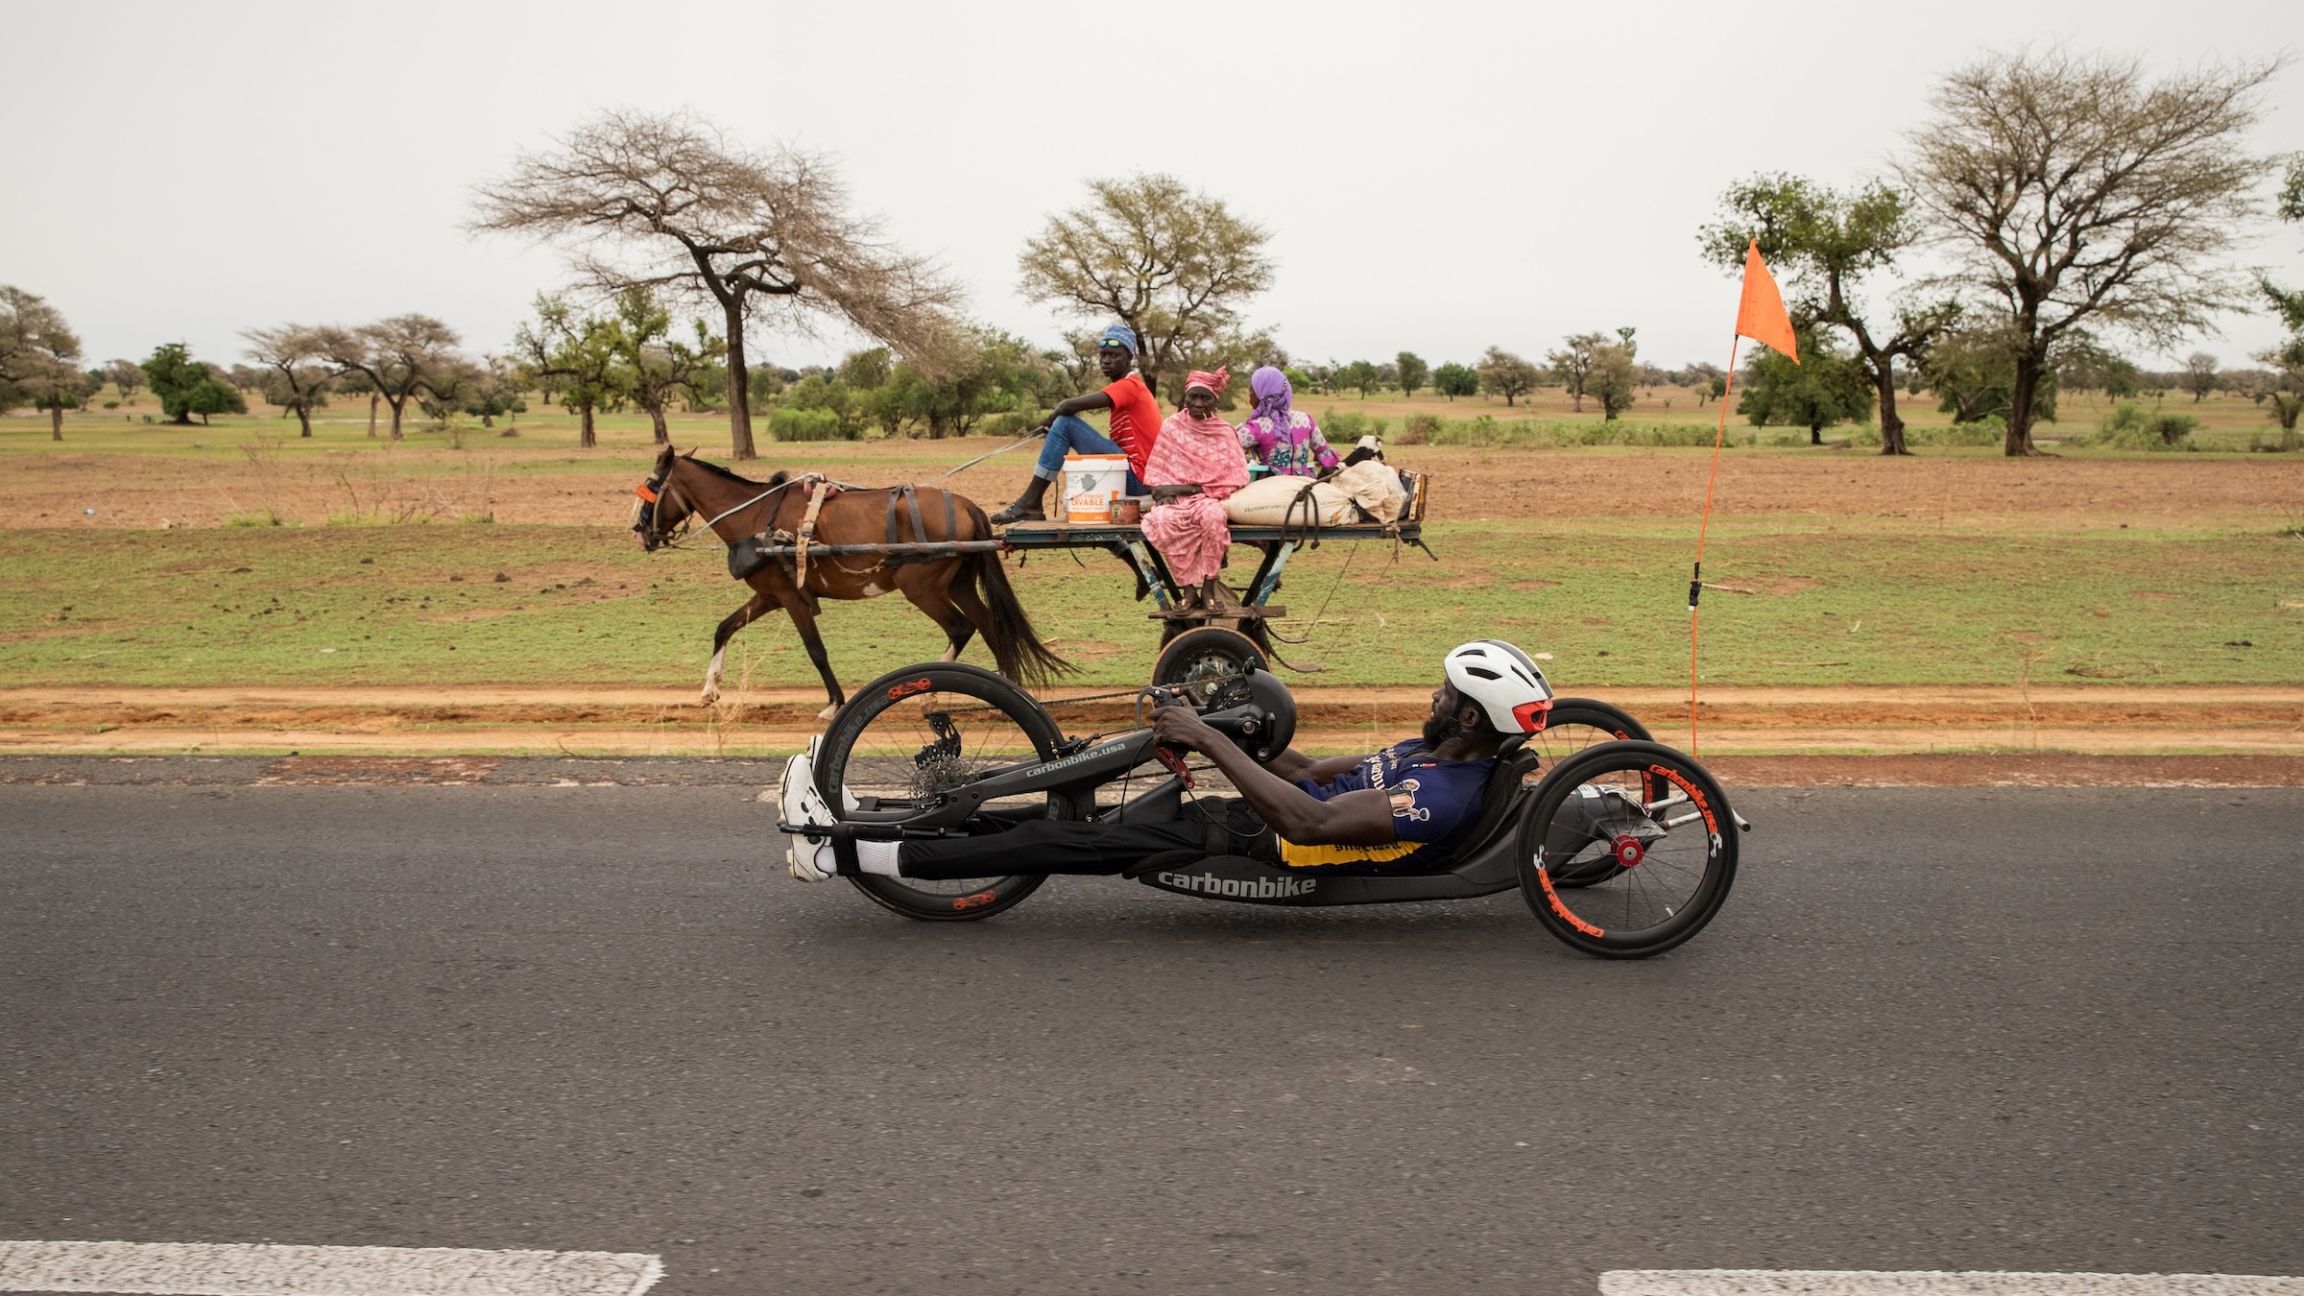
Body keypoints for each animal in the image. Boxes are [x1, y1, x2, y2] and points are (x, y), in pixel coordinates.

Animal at [640, 447, 1069, 714]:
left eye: (651, 488)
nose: (640, 532)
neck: (758, 518)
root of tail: (965, 504)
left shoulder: (791, 599)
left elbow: (816, 650)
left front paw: (834, 702)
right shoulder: (771, 595)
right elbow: (724, 628)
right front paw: (709, 690)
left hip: (922, 588)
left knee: (962, 628)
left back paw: (931, 697)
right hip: (957, 584)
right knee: (990, 626)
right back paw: (1006, 690)